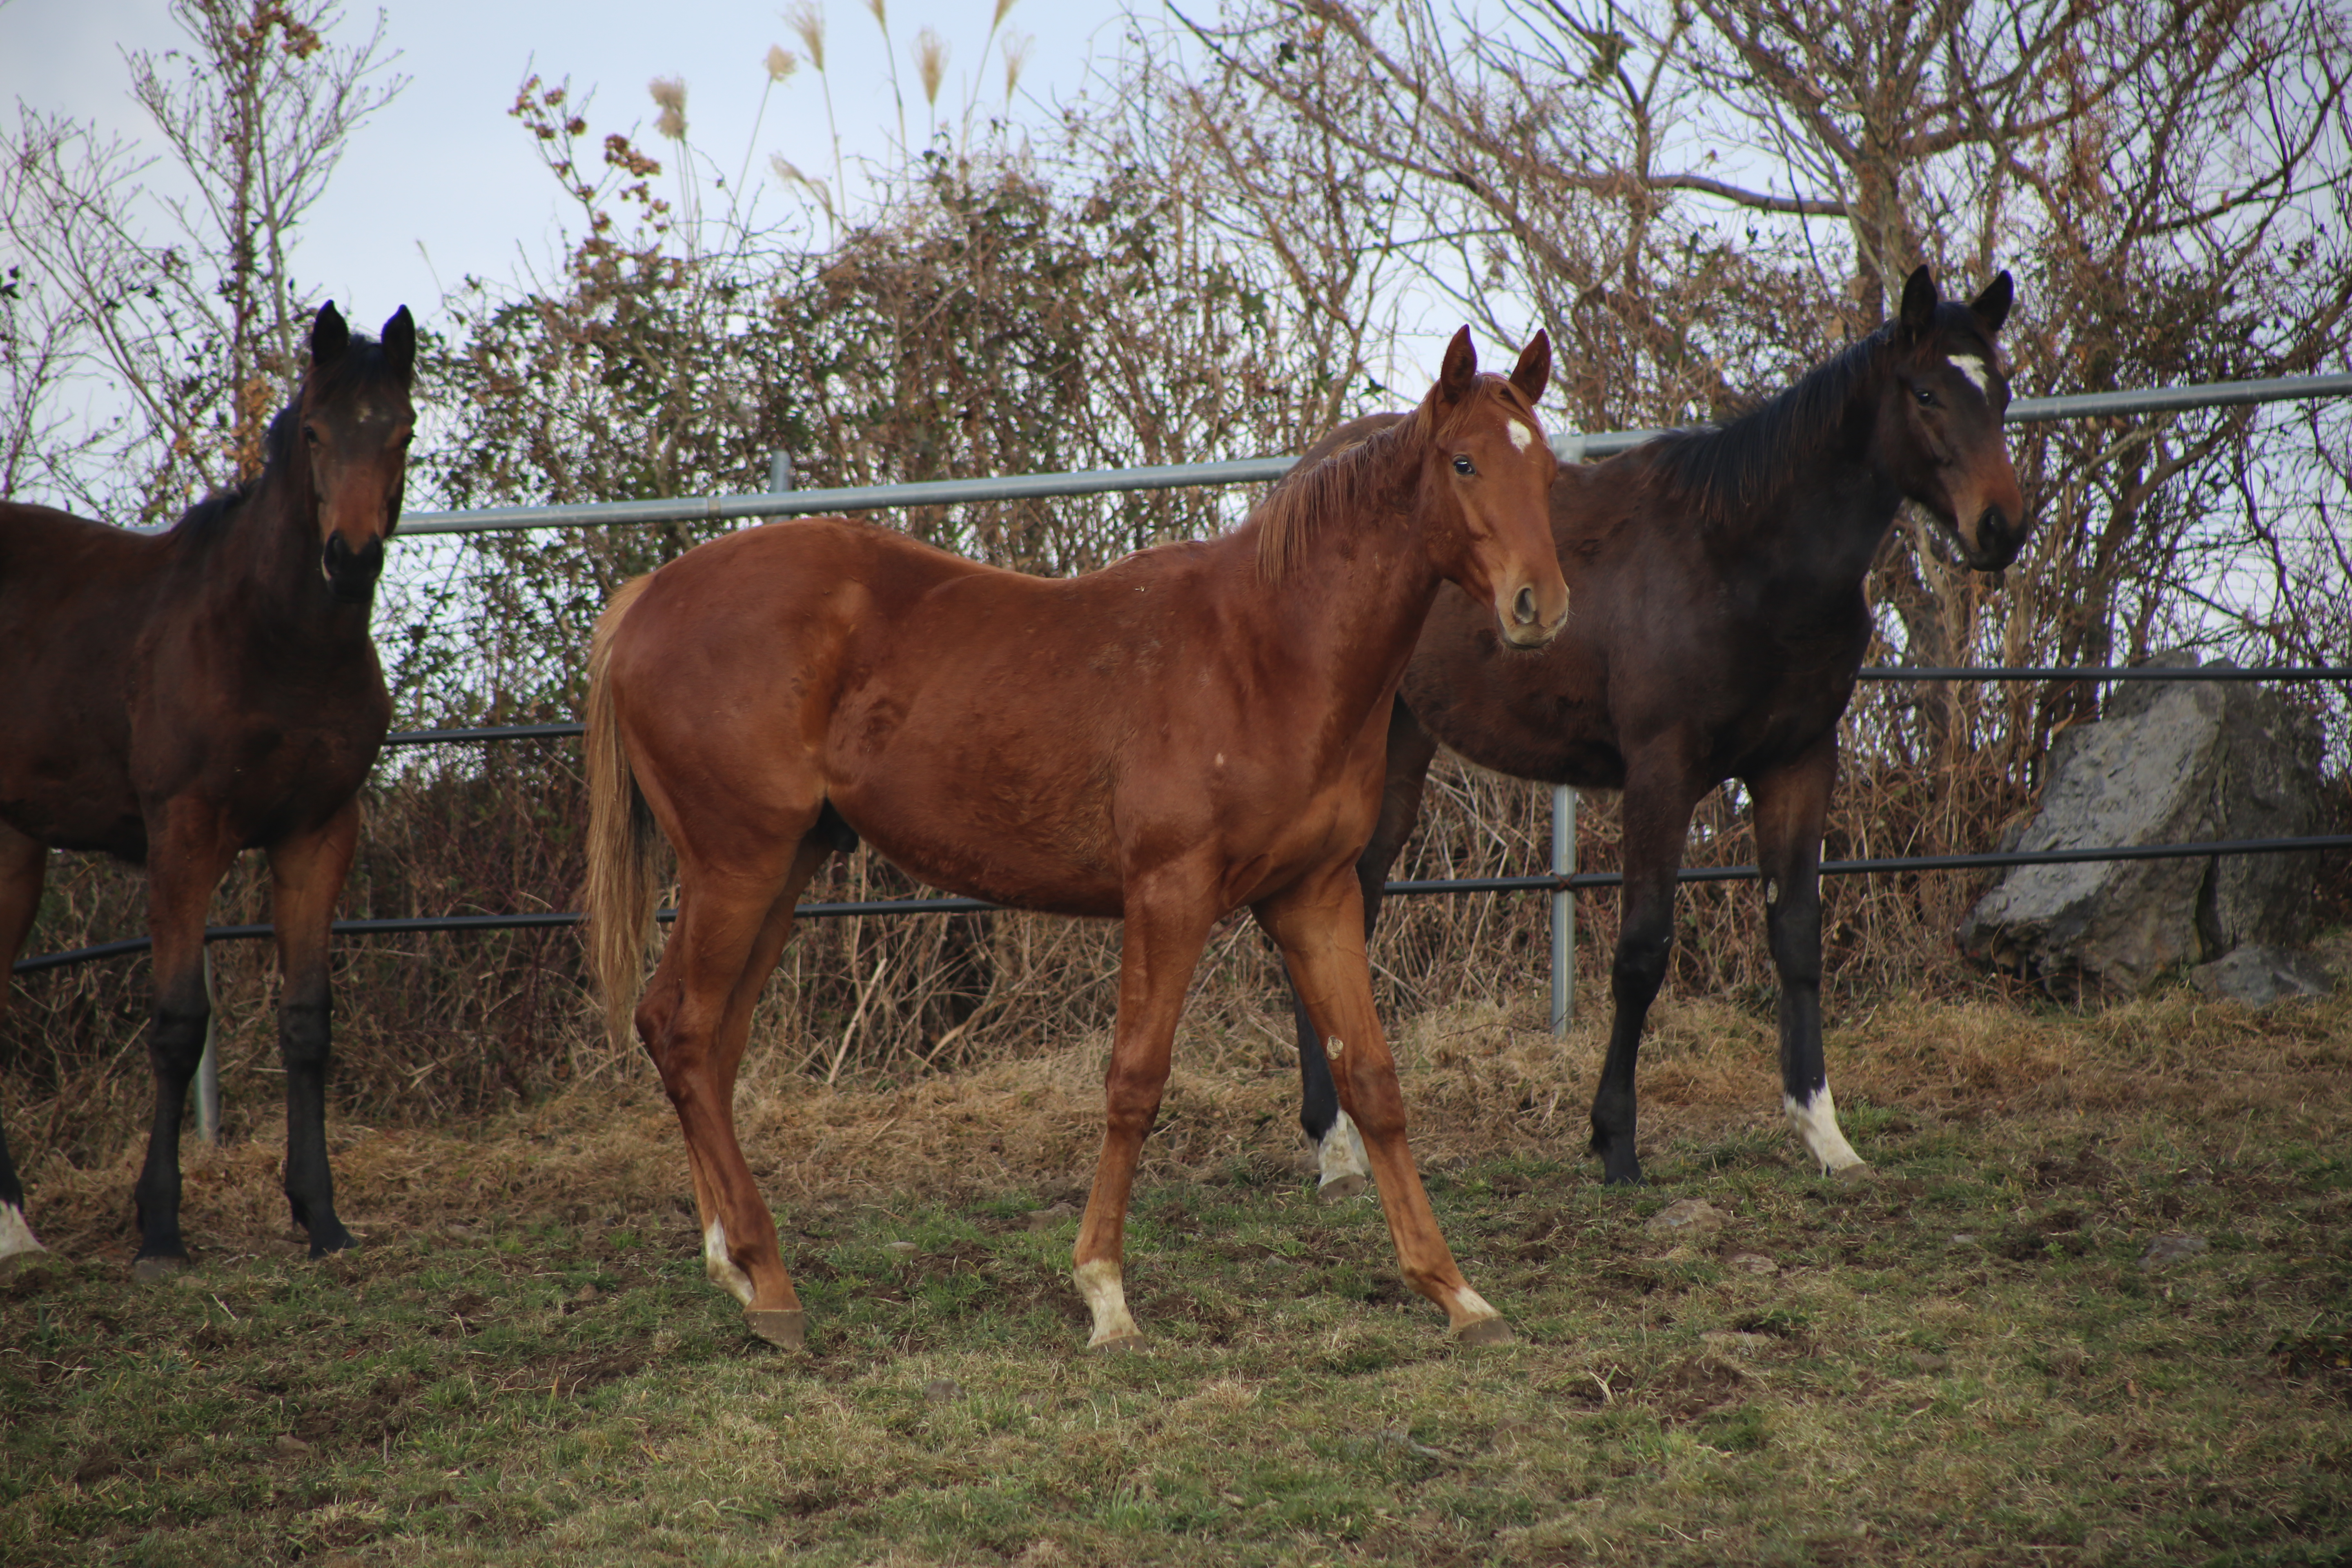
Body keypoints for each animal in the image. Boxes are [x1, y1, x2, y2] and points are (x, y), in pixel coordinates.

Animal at [588, 329, 1571, 1354]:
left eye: (1543, 467)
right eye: (1463, 462)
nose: (1537, 606)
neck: (1268, 650)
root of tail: (649, 597)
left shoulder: (1317, 896)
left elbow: (1372, 1081)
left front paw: (1453, 1291)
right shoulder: (1170, 894)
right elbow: (1134, 1080)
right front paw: (1104, 1294)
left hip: (780, 871)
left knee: (707, 1044)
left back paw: (734, 1268)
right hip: (735, 867)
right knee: (682, 1032)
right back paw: (771, 1284)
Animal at [1298, 267, 2032, 1189]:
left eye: (2001, 391)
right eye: (1927, 392)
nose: (2000, 527)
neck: (1741, 560)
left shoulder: (1799, 763)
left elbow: (1796, 937)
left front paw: (1825, 1135)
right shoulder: (1662, 772)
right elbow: (1642, 952)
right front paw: (1616, 1142)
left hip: (1400, 750)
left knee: (1343, 909)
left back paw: (1337, 1138)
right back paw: (1334, 1147)